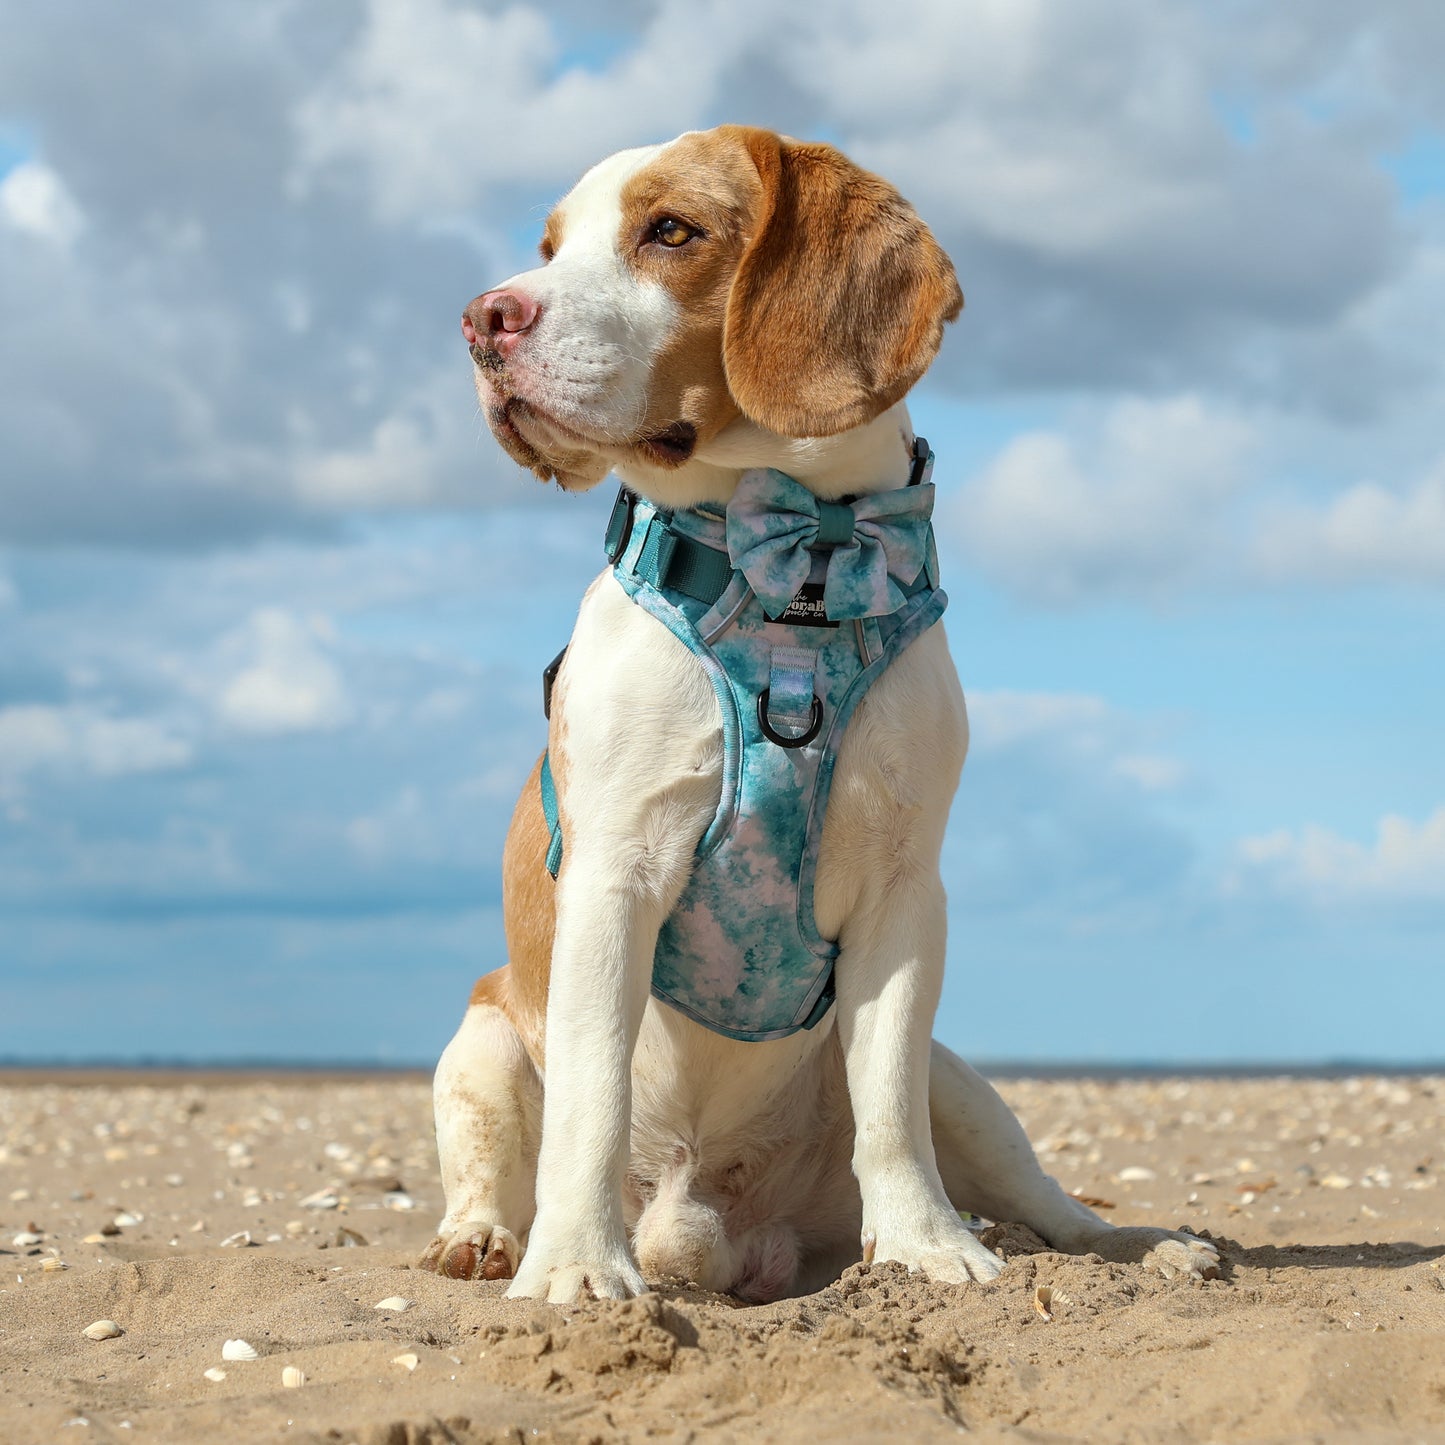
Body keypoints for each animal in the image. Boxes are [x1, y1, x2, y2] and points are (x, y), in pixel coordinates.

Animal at [421, 124, 1219, 1306]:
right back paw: (485, 1238)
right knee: (492, 1159)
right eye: (550, 246)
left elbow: (886, 1104)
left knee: (1039, 1197)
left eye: (671, 231)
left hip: (963, 1085)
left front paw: (926, 1247)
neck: (793, 574)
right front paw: (573, 1268)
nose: (484, 316)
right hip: (478, 1040)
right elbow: (590, 1100)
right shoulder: (613, 877)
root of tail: (722, 1229)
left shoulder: (904, 894)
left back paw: (1141, 1246)